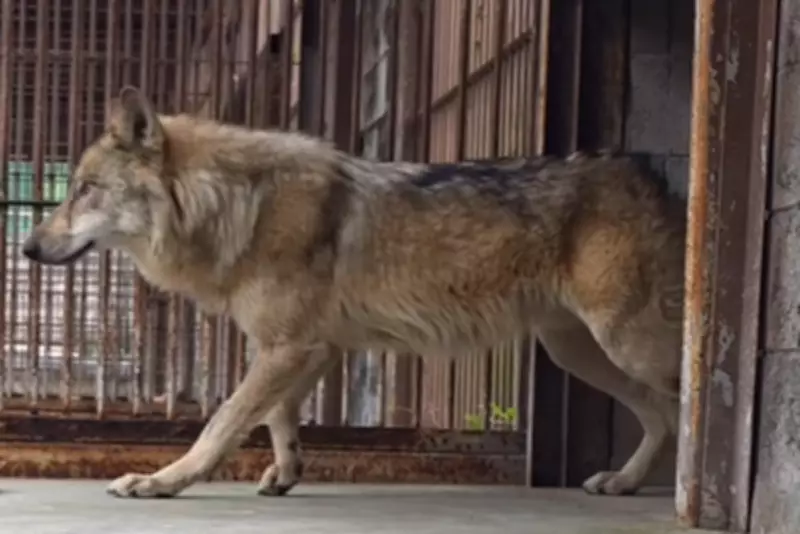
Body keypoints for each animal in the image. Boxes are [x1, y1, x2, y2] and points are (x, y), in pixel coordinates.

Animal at [23, 86, 686, 499]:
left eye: (84, 190)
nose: (27, 248)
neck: (238, 205)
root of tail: (651, 175)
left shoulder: (289, 347)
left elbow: (224, 421)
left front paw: (162, 481)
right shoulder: (313, 347)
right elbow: (279, 415)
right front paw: (285, 472)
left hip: (625, 343)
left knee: (686, 399)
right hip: (577, 352)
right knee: (661, 414)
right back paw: (625, 483)